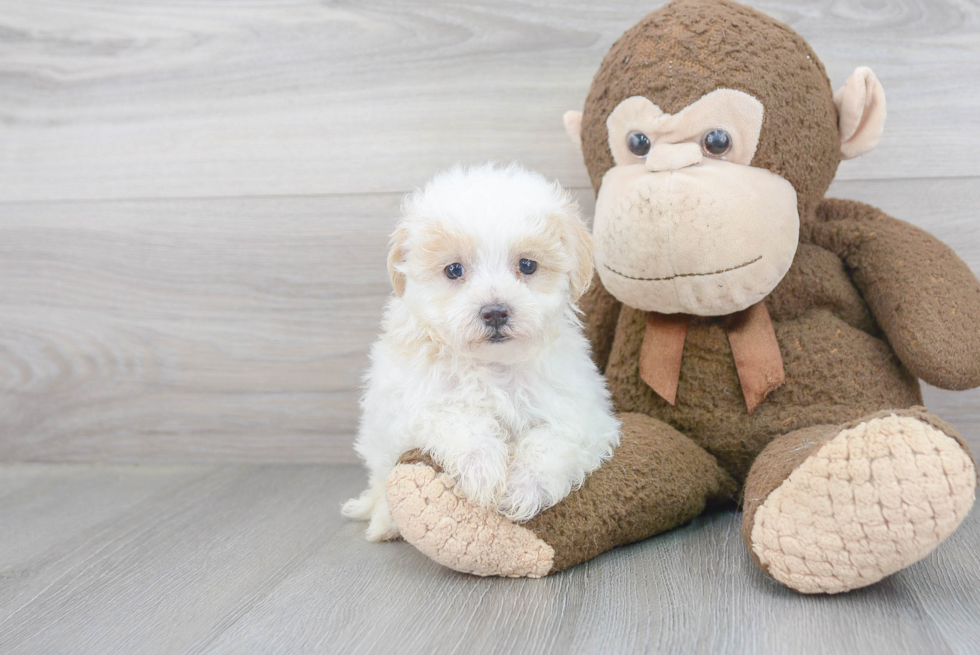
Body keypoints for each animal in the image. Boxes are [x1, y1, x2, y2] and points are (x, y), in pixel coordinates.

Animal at [344, 165, 620, 544]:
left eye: (527, 265)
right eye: (454, 270)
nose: (495, 312)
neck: (494, 366)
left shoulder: (582, 413)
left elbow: (553, 441)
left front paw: (524, 486)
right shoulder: (408, 408)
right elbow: (456, 417)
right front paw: (483, 469)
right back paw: (384, 523)